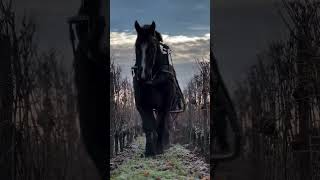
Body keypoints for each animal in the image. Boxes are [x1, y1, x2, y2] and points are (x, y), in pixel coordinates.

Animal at [132, 20, 178, 156]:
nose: (142, 76)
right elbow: (149, 126)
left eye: (152, 47)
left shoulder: (165, 105)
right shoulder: (142, 105)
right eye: (136, 46)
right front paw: (149, 150)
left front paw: (159, 149)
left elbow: (161, 125)